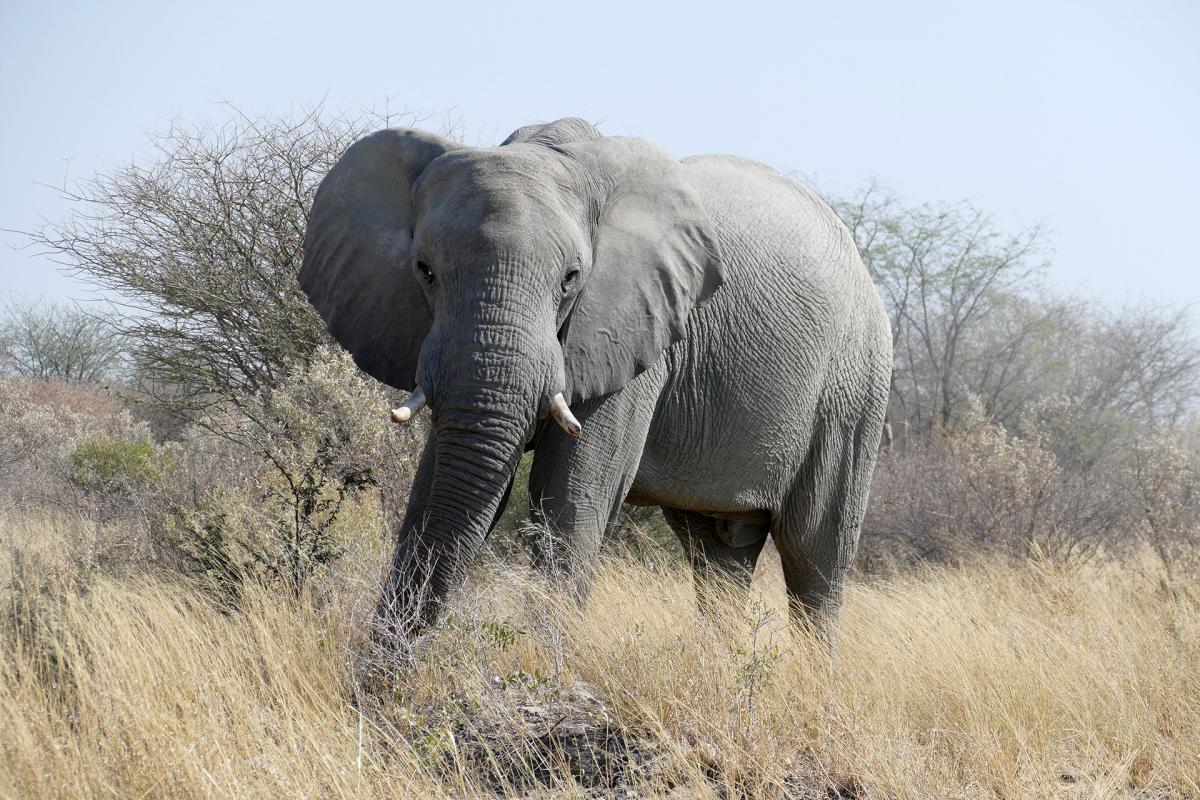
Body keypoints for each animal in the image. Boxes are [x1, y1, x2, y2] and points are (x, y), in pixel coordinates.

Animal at [299, 117, 892, 644]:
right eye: (424, 270)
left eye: (571, 279)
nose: (374, 687)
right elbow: (437, 490)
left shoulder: (636, 330)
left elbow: (568, 501)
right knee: (718, 552)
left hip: (855, 386)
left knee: (814, 554)